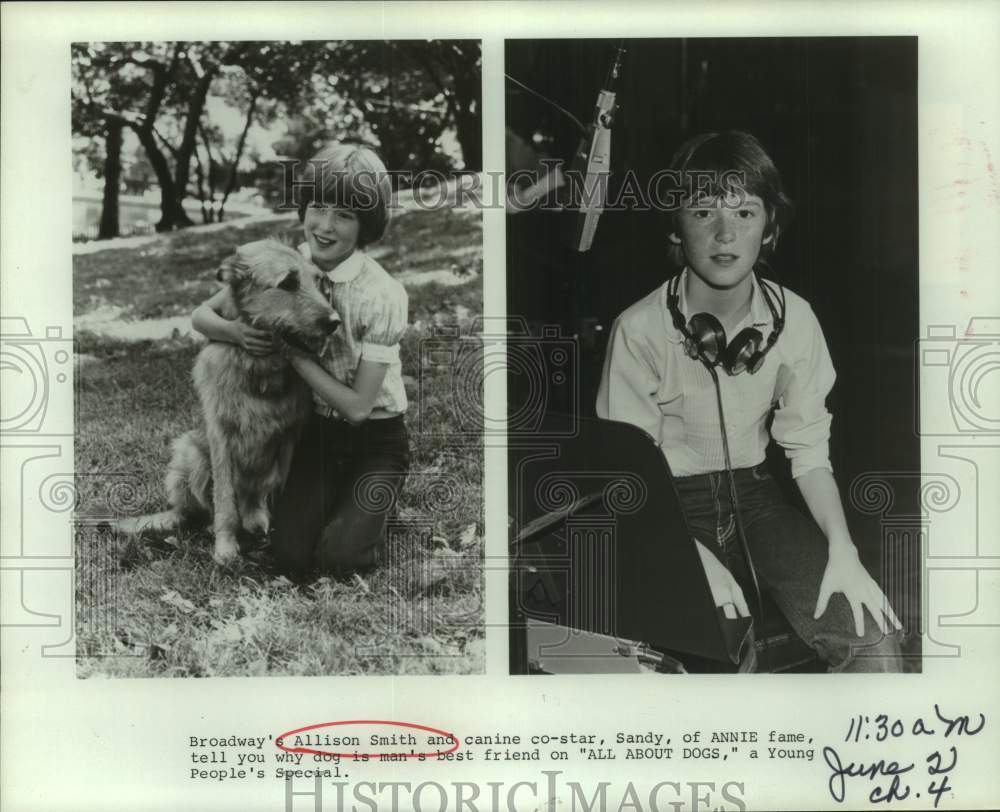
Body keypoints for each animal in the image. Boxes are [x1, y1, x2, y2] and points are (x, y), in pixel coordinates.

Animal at [118, 238, 340, 560]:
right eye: (288, 282)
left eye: (318, 280)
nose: (336, 321)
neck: (260, 367)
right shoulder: (221, 437)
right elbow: (224, 498)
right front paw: (225, 546)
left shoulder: (290, 437)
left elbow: (279, 488)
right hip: (191, 452)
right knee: (193, 511)